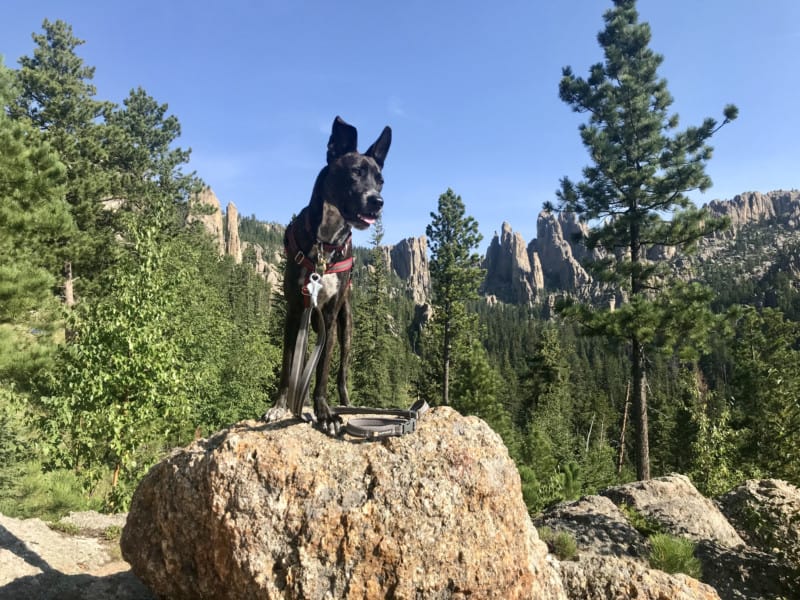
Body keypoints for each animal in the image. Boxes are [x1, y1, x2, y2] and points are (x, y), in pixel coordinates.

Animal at [268, 116, 392, 432]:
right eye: (356, 172)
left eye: (381, 180)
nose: (378, 201)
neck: (325, 243)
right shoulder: (294, 311)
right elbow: (287, 365)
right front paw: (279, 406)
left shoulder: (330, 316)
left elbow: (323, 372)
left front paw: (325, 412)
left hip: (346, 328)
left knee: (343, 372)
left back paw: (346, 403)